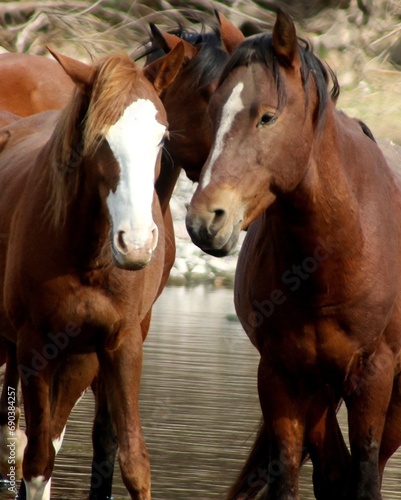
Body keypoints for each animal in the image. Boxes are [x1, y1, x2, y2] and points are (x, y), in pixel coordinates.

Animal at [186, 8, 400, 500]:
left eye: (267, 117)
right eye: (213, 111)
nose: (205, 219)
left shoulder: (374, 376)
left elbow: (366, 475)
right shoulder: (281, 376)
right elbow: (287, 475)